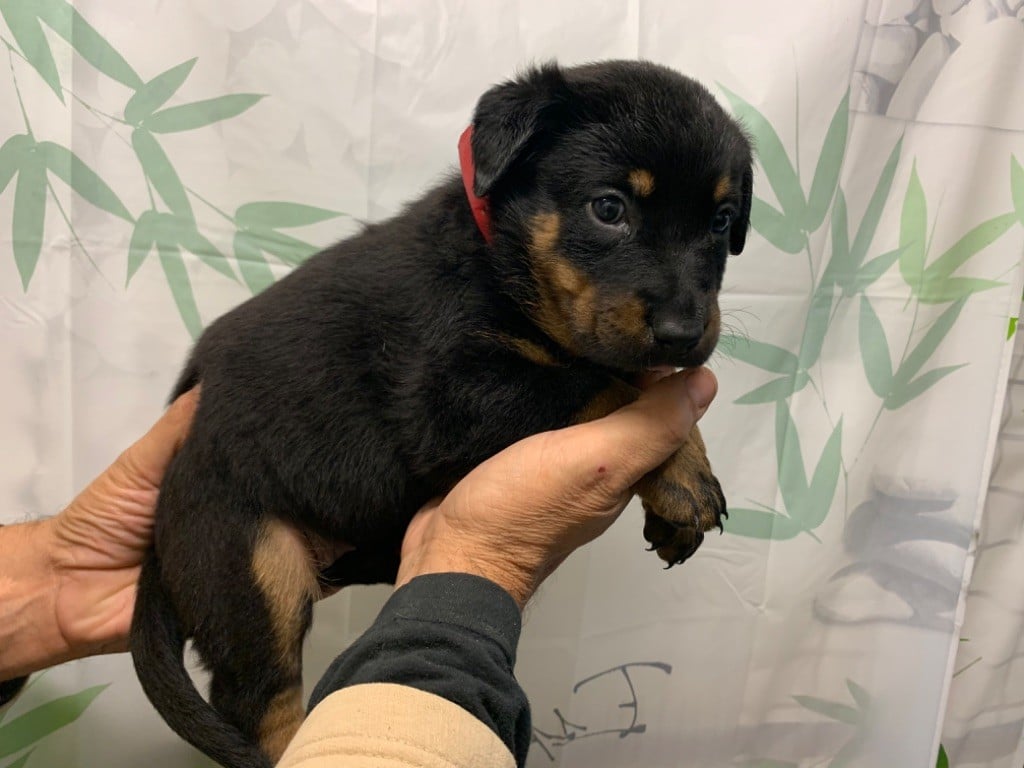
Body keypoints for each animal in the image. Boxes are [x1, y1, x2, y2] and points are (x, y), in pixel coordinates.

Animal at [129, 59, 753, 768]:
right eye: (608, 208)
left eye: (721, 221)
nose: (683, 333)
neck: (503, 266)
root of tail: (164, 529)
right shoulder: (452, 394)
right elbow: (609, 390)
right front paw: (683, 477)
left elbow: (622, 380)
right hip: (252, 563)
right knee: (260, 702)